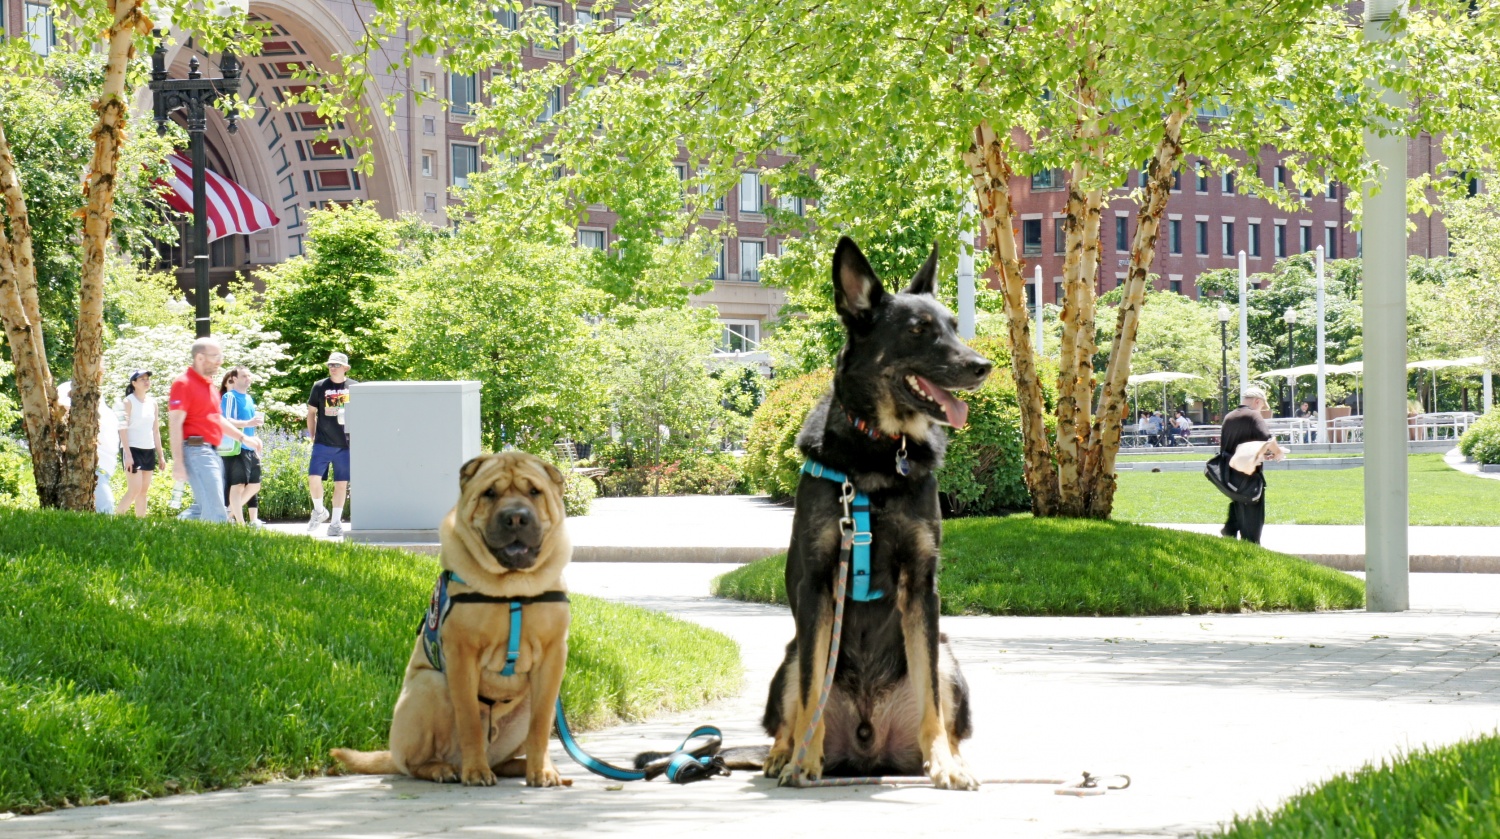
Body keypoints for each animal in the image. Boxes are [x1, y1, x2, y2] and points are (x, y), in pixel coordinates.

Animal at [334, 453, 573, 786]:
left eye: (534, 492)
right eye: (490, 493)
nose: (515, 517)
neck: (513, 588)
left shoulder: (552, 657)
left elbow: (540, 725)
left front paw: (542, 771)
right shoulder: (462, 654)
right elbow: (469, 719)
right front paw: (476, 772)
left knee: (507, 753)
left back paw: (521, 767)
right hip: (429, 687)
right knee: (412, 763)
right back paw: (446, 769)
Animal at [762, 238, 996, 792]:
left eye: (954, 324)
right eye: (918, 330)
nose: (983, 365)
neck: (879, 453)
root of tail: (869, 749)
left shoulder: (922, 584)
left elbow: (933, 700)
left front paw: (945, 764)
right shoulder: (819, 583)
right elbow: (811, 691)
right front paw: (803, 760)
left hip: (949, 655)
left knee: (946, 707)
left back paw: (953, 758)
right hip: (788, 654)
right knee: (789, 712)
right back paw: (784, 755)